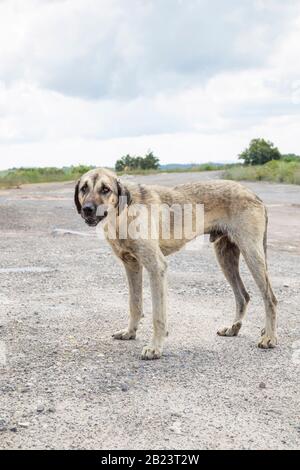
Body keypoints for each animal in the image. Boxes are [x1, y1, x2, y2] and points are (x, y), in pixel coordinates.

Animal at [74, 167, 276, 358]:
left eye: (105, 189)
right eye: (84, 188)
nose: (87, 209)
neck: (122, 215)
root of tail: (253, 194)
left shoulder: (156, 267)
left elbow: (158, 315)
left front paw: (155, 347)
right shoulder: (132, 266)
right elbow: (135, 304)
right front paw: (130, 332)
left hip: (252, 254)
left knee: (270, 298)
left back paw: (269, 338)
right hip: (225, 257)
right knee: (243, 296)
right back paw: (233, 328)